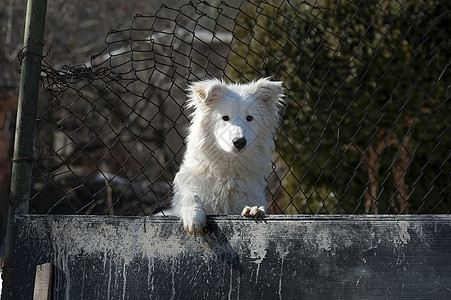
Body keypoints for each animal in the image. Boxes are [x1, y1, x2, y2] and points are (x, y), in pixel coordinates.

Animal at [162, 78, 282, 236]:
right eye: (225, 118)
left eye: (249, 118)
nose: (239, 142)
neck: (227, 172)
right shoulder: (190, 185)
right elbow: (191, 195)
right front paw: (193, 216)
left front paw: (253, 210)